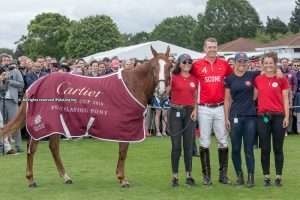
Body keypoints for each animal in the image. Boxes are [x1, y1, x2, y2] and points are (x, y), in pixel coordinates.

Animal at [0, 46, 171, 188]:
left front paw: (120, 177)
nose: (162, 91)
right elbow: (123, 152)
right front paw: (122, 179)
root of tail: (35, 85)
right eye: (154, 67)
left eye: (169, 66)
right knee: (32, 148)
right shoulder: (125, 126)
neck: (133, 85)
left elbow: (122, 152)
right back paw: (31, 179)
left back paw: (66, 177)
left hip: (56, 122)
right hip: (43, 122)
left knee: (53, 147)